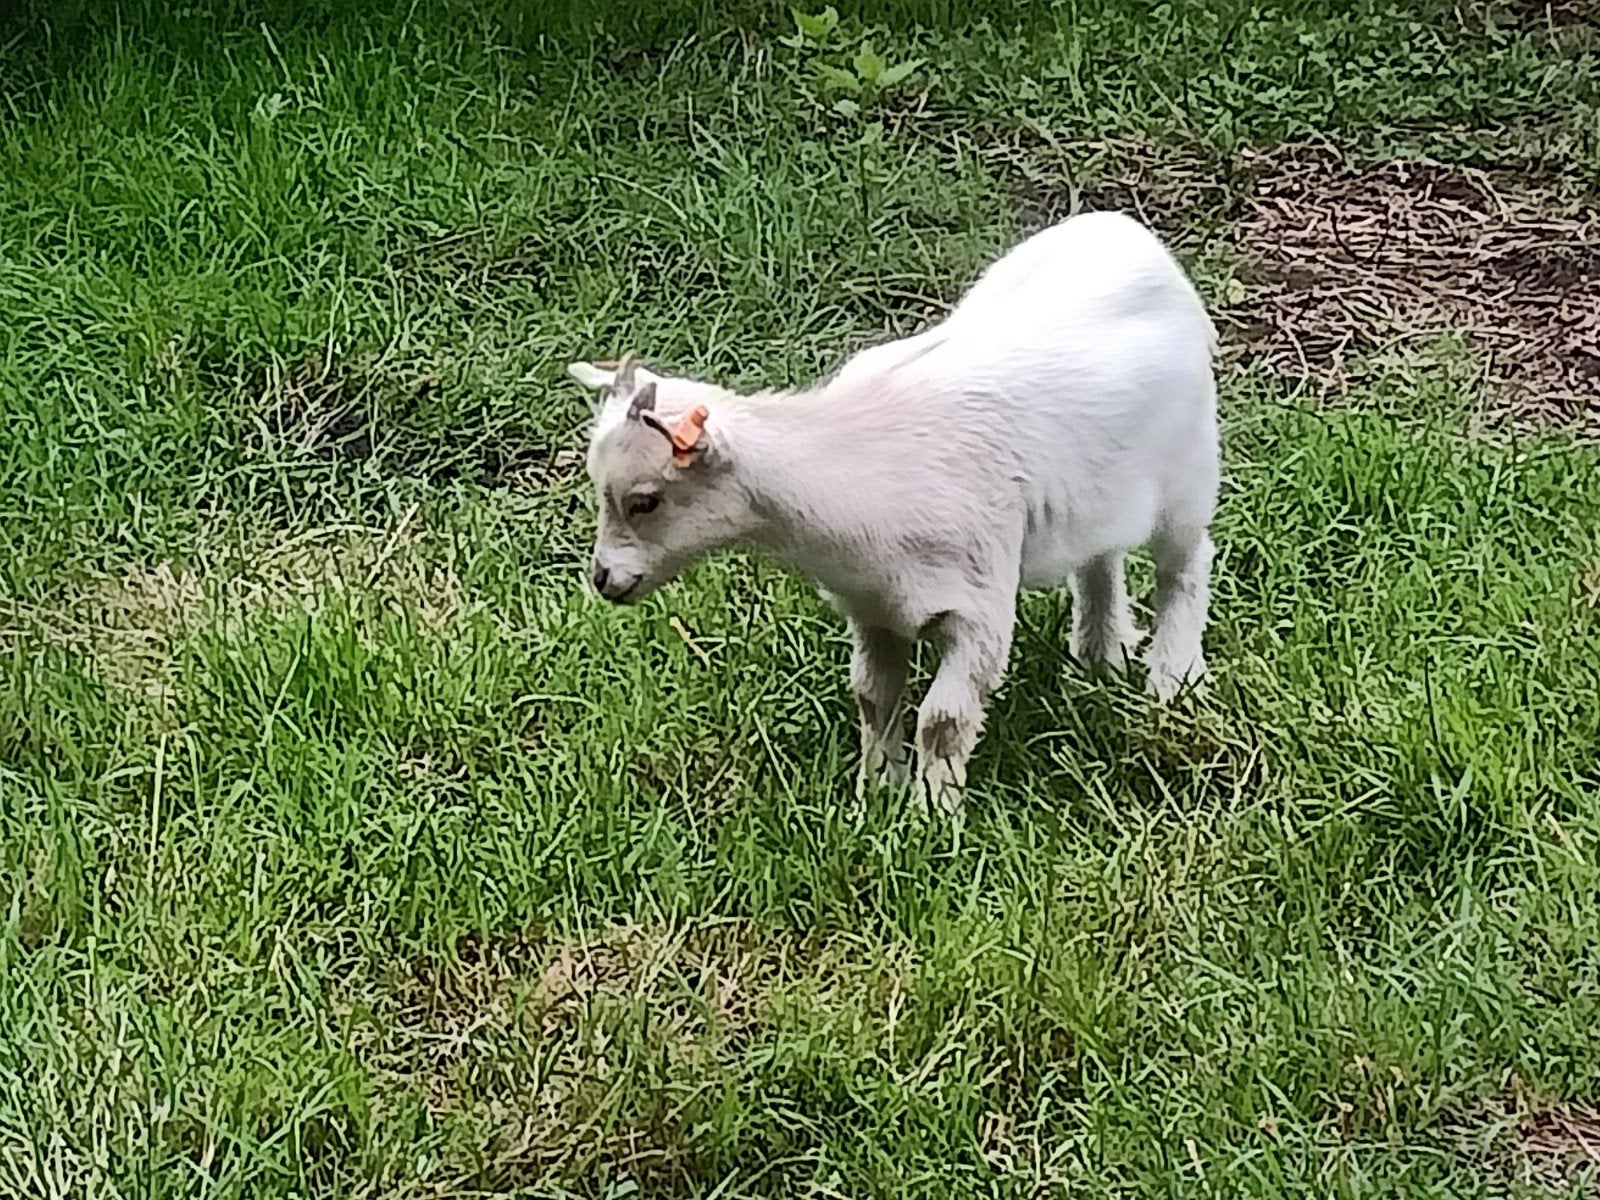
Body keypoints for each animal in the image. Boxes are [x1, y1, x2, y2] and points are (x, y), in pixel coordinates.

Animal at [570, 211, 1219, 813]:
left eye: (644, 500)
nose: (603, 579)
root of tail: (1123, 229)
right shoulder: (873, 608)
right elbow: (874, 700)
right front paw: (877, 795)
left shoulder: (979, 612)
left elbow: (943, 719)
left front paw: (933, 813)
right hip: (1101, 491)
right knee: (1100, 559)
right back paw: (1098, 656)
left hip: (1189, 473)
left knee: (1184, 566)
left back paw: (1172, 678)